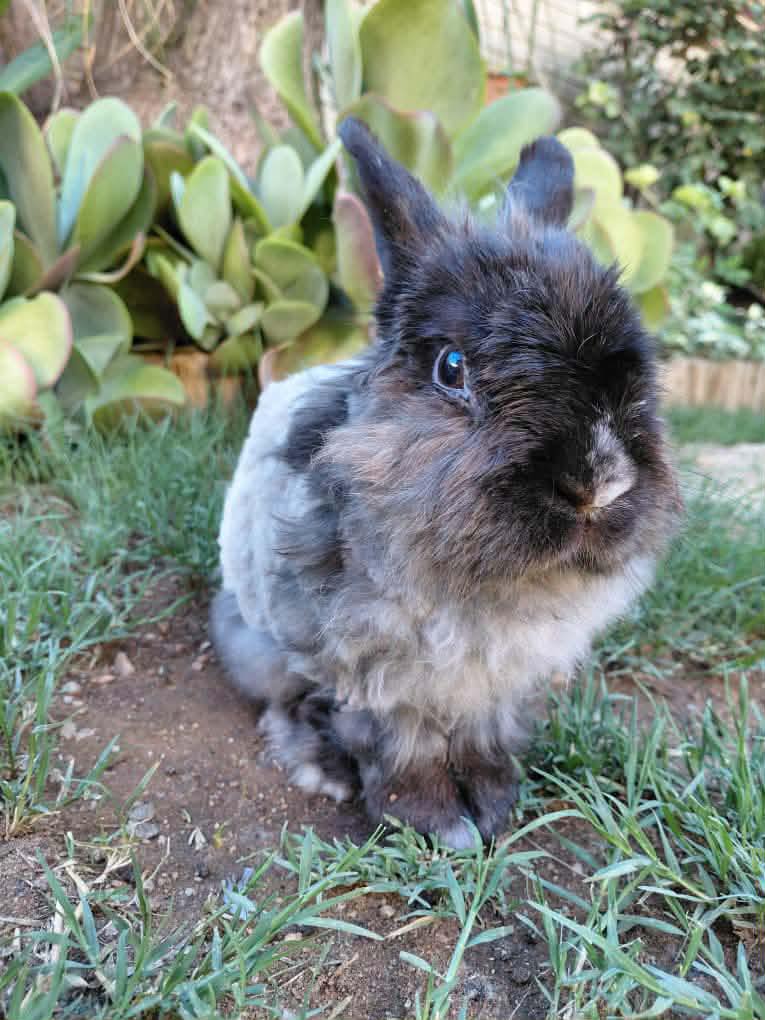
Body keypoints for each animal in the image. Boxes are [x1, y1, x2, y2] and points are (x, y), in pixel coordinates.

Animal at [211, 118, 681, 848]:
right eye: (451, 367)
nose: (598, 482)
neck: (482, 589)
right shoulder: (374, 669)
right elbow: (400, 740)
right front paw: (432, 818)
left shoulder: (497, 675)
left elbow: (483, 731)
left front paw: (492, 799)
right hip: (257, 638)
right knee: (287, 699)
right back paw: (322, 764)